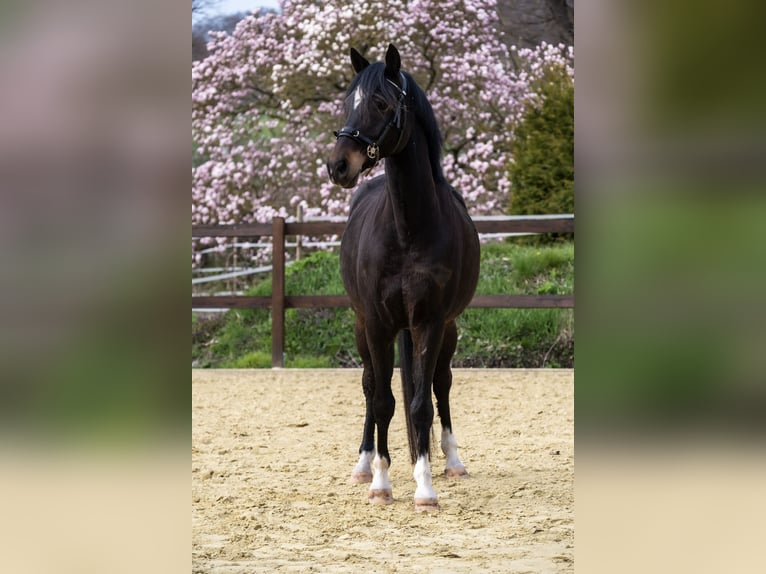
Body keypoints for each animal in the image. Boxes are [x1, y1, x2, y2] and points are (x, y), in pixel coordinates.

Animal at [327, 44, 480, 511]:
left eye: (381, 103)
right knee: (369, 385)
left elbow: (420, 405)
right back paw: (363, 464)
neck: (408, 229)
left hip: (447, 328)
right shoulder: (378, 324)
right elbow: (381, 401)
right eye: (348, 102)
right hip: (363, 327)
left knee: (441, 385)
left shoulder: (429, 321)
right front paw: (380, 482)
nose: (338, 166)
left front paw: (424, 487)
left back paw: (452, 460)